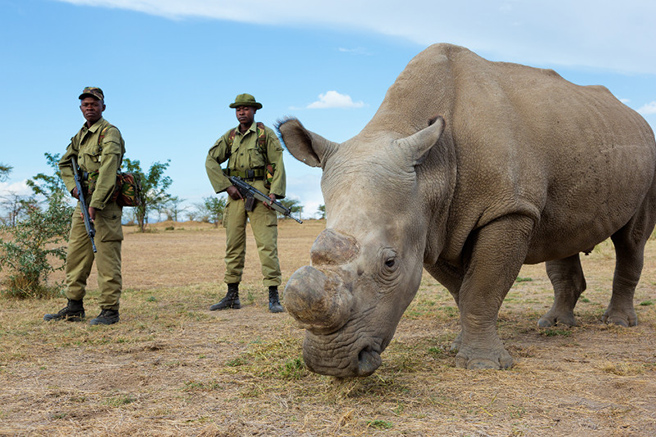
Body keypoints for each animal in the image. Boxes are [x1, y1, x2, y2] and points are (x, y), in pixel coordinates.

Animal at [276, 42, 656, 374]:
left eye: (390, 263)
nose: (331, 363)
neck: (432, 170)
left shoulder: (507, 210)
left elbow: (481, 288)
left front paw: (482, 365)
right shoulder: (431, 224)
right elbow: (462, 291)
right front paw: (461, 347)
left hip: (645, 150)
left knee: (631, 241)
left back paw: (618, 324)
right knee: (563, 234)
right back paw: (555, 325)